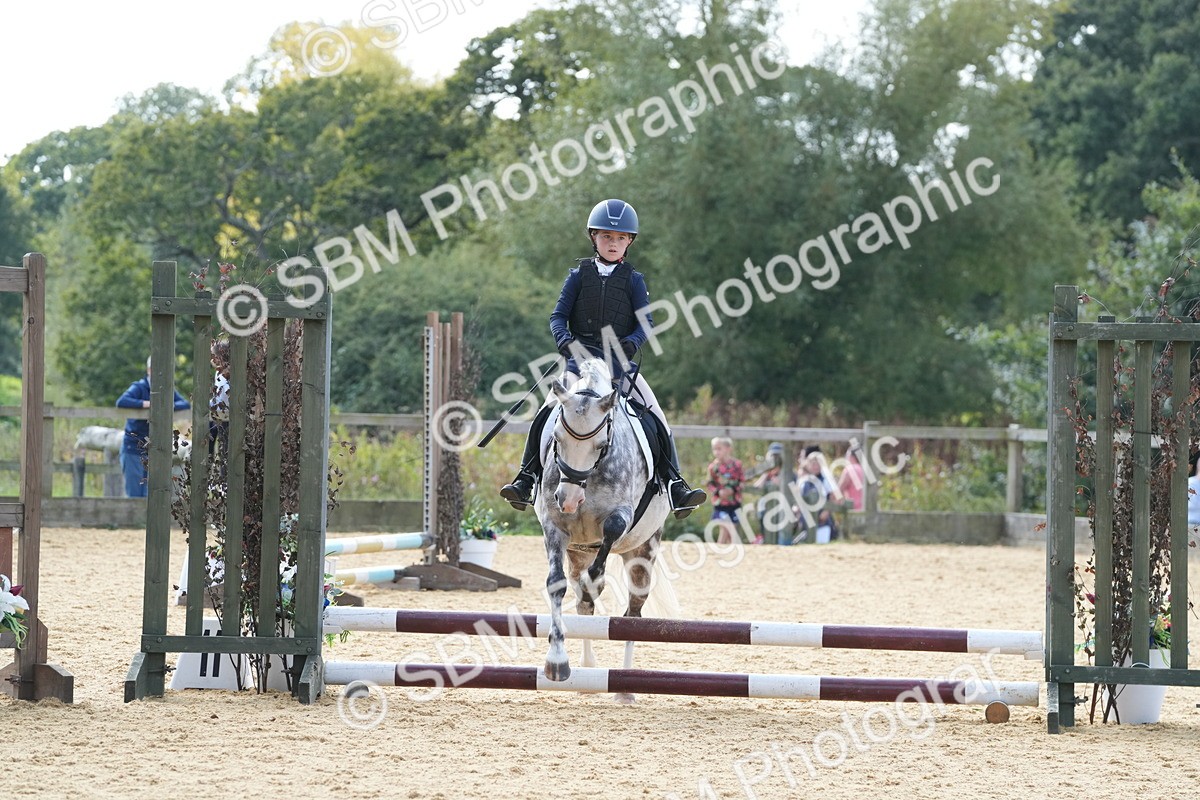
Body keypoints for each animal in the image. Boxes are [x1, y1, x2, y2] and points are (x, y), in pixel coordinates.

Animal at [535, 358, 672, 699]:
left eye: (600, 445)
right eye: (556, 437)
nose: (568, 500)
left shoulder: (622, 515)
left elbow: (612, 527)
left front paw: (595, 579)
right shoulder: (555, 528)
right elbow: (556, 585)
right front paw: (557, 662)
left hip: (642, 552)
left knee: (632, 613)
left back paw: (625, 686)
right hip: (577, 551)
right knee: (585, 605)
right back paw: (588, 669)